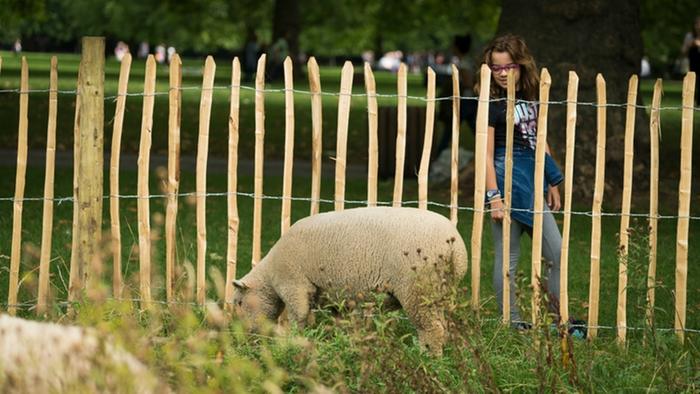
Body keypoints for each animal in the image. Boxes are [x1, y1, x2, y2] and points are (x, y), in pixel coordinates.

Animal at [232, 206, 468, 354]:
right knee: (442, 326)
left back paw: (426, 358)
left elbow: (298, 317)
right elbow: (338, 322)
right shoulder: (334, 296)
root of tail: (455, 245)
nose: (244, 337)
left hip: (417, 289)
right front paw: (341, 342)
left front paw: (294, 342)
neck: (270, 274)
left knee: (431, 329)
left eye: (240, 303)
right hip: (439, 291)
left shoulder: (294, 285)